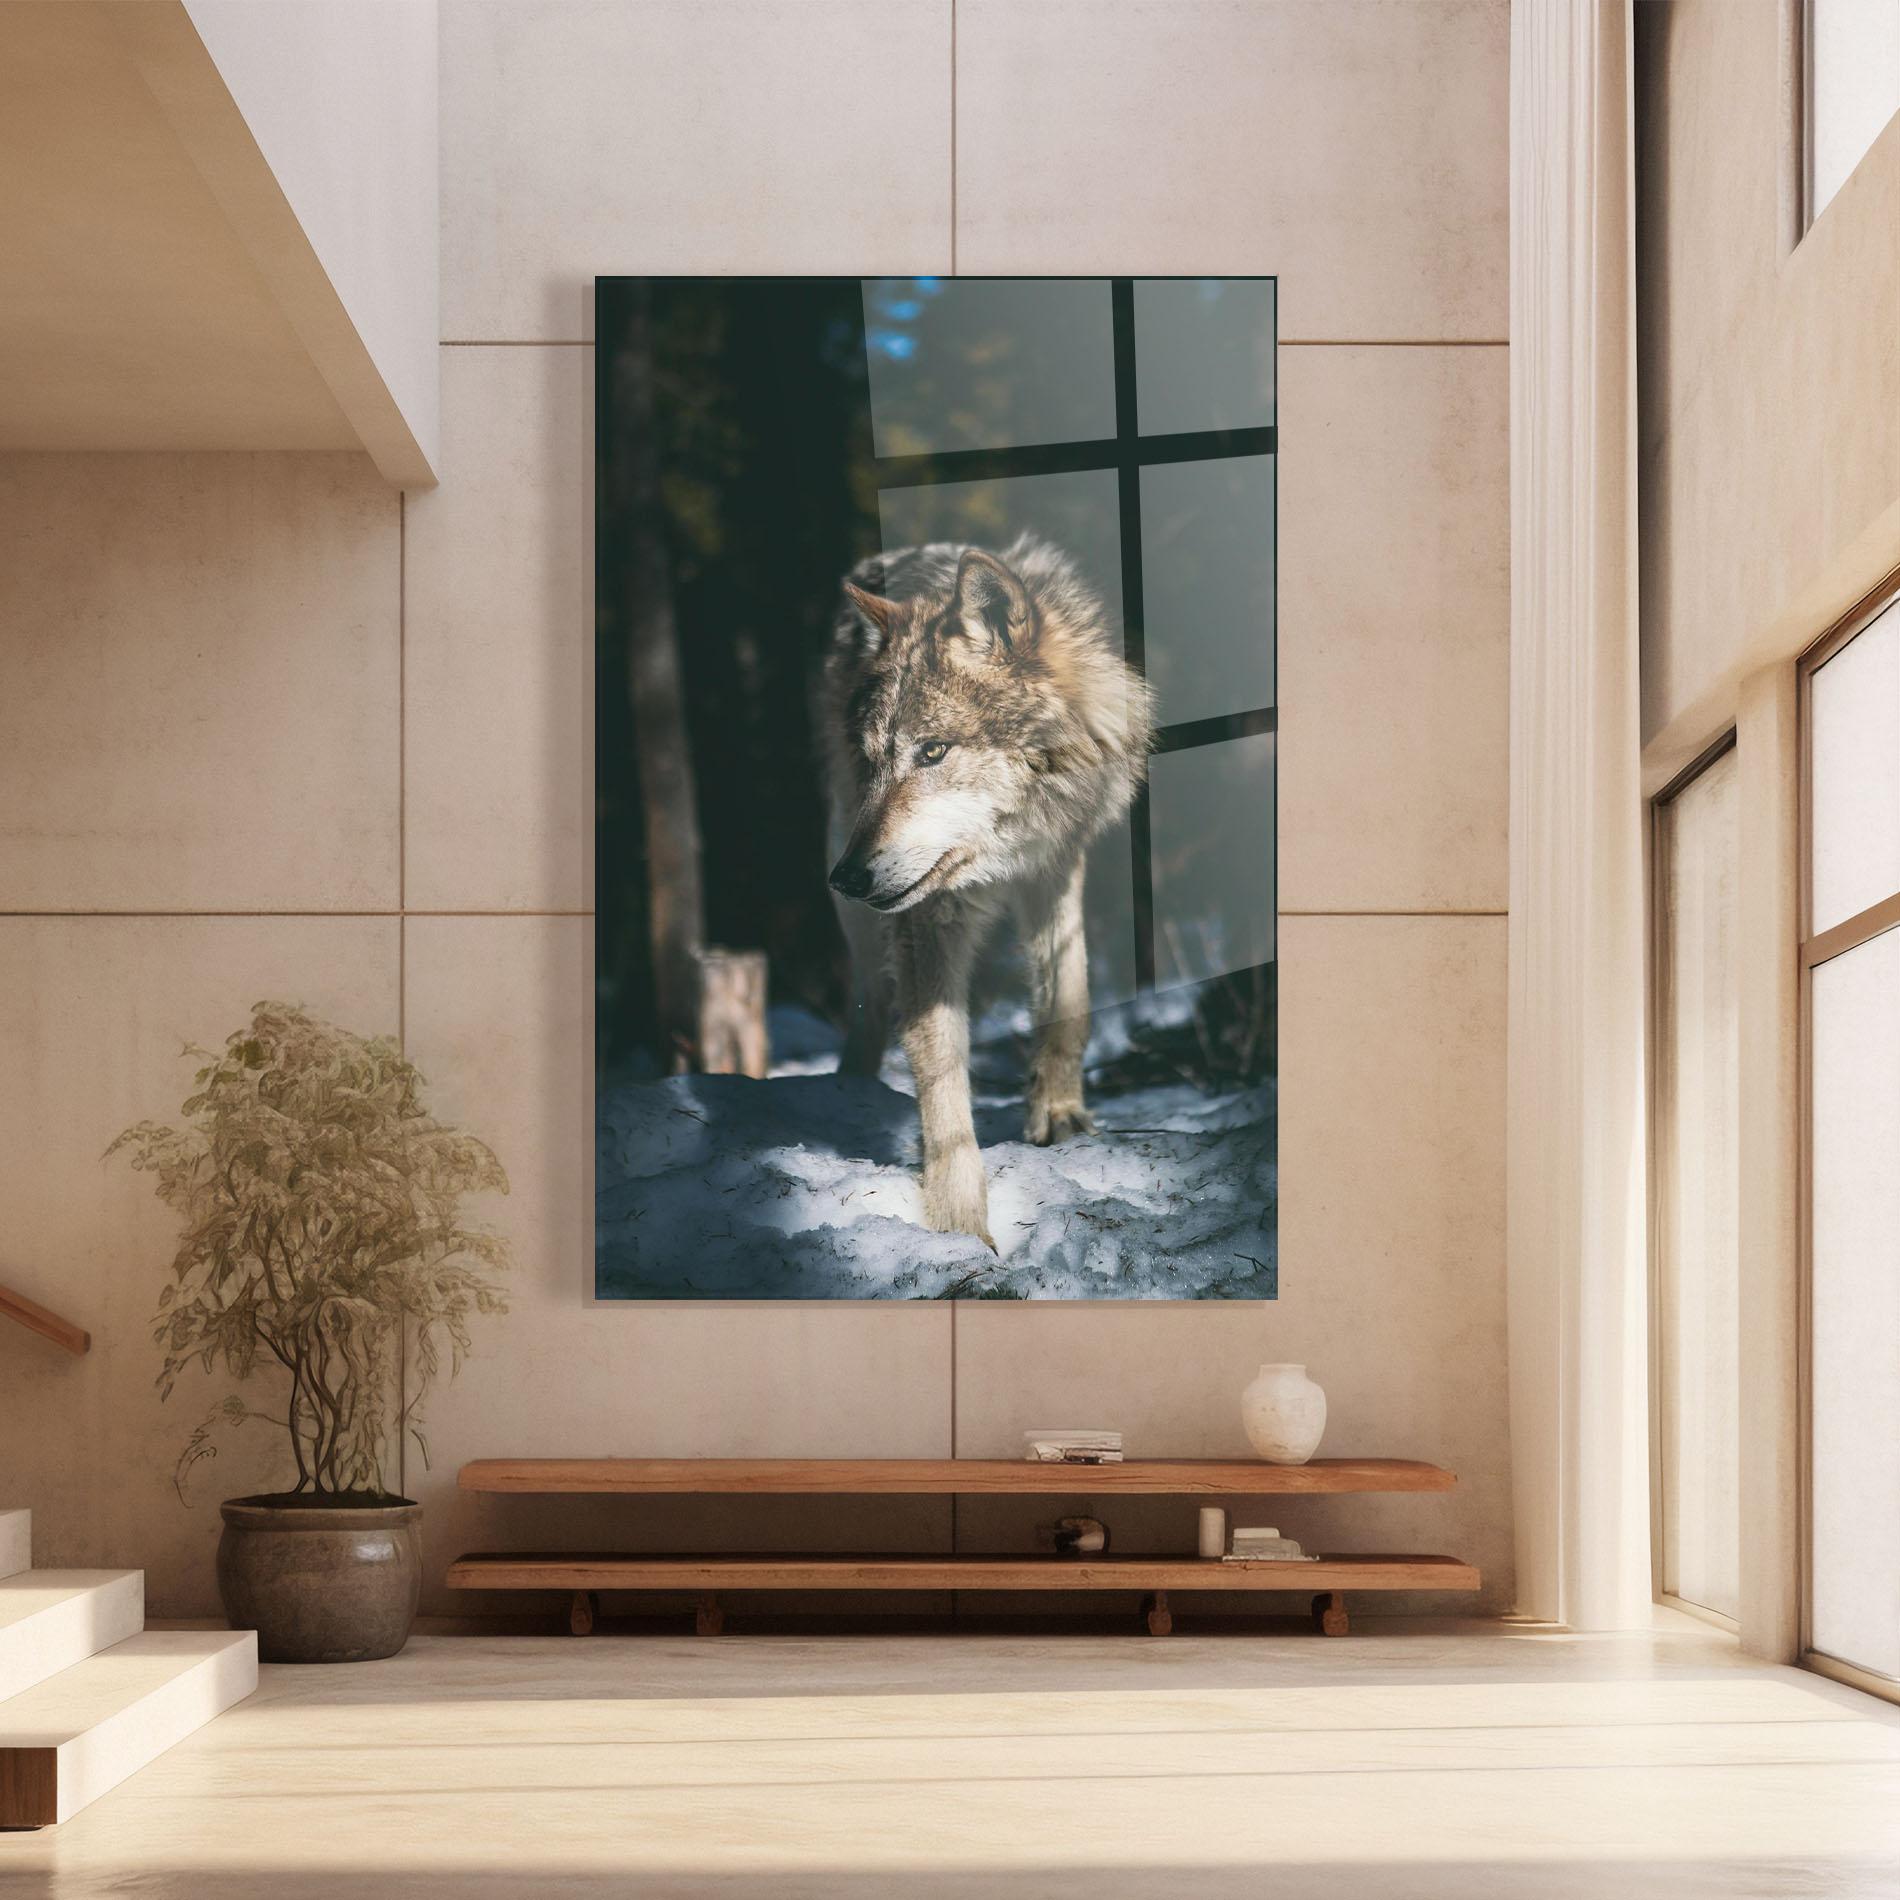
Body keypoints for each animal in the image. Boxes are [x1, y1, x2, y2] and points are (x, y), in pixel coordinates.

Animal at [818, 534, 1154, 1248]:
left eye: (933, 751)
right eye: (874, 761)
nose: (848, 876)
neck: (1004, 850)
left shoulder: (1057, 866)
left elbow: (1070, 999)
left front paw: (1059, 1115)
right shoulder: (927, 916)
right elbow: (940, 1067)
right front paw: (958, 1224)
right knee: (869, 1000)